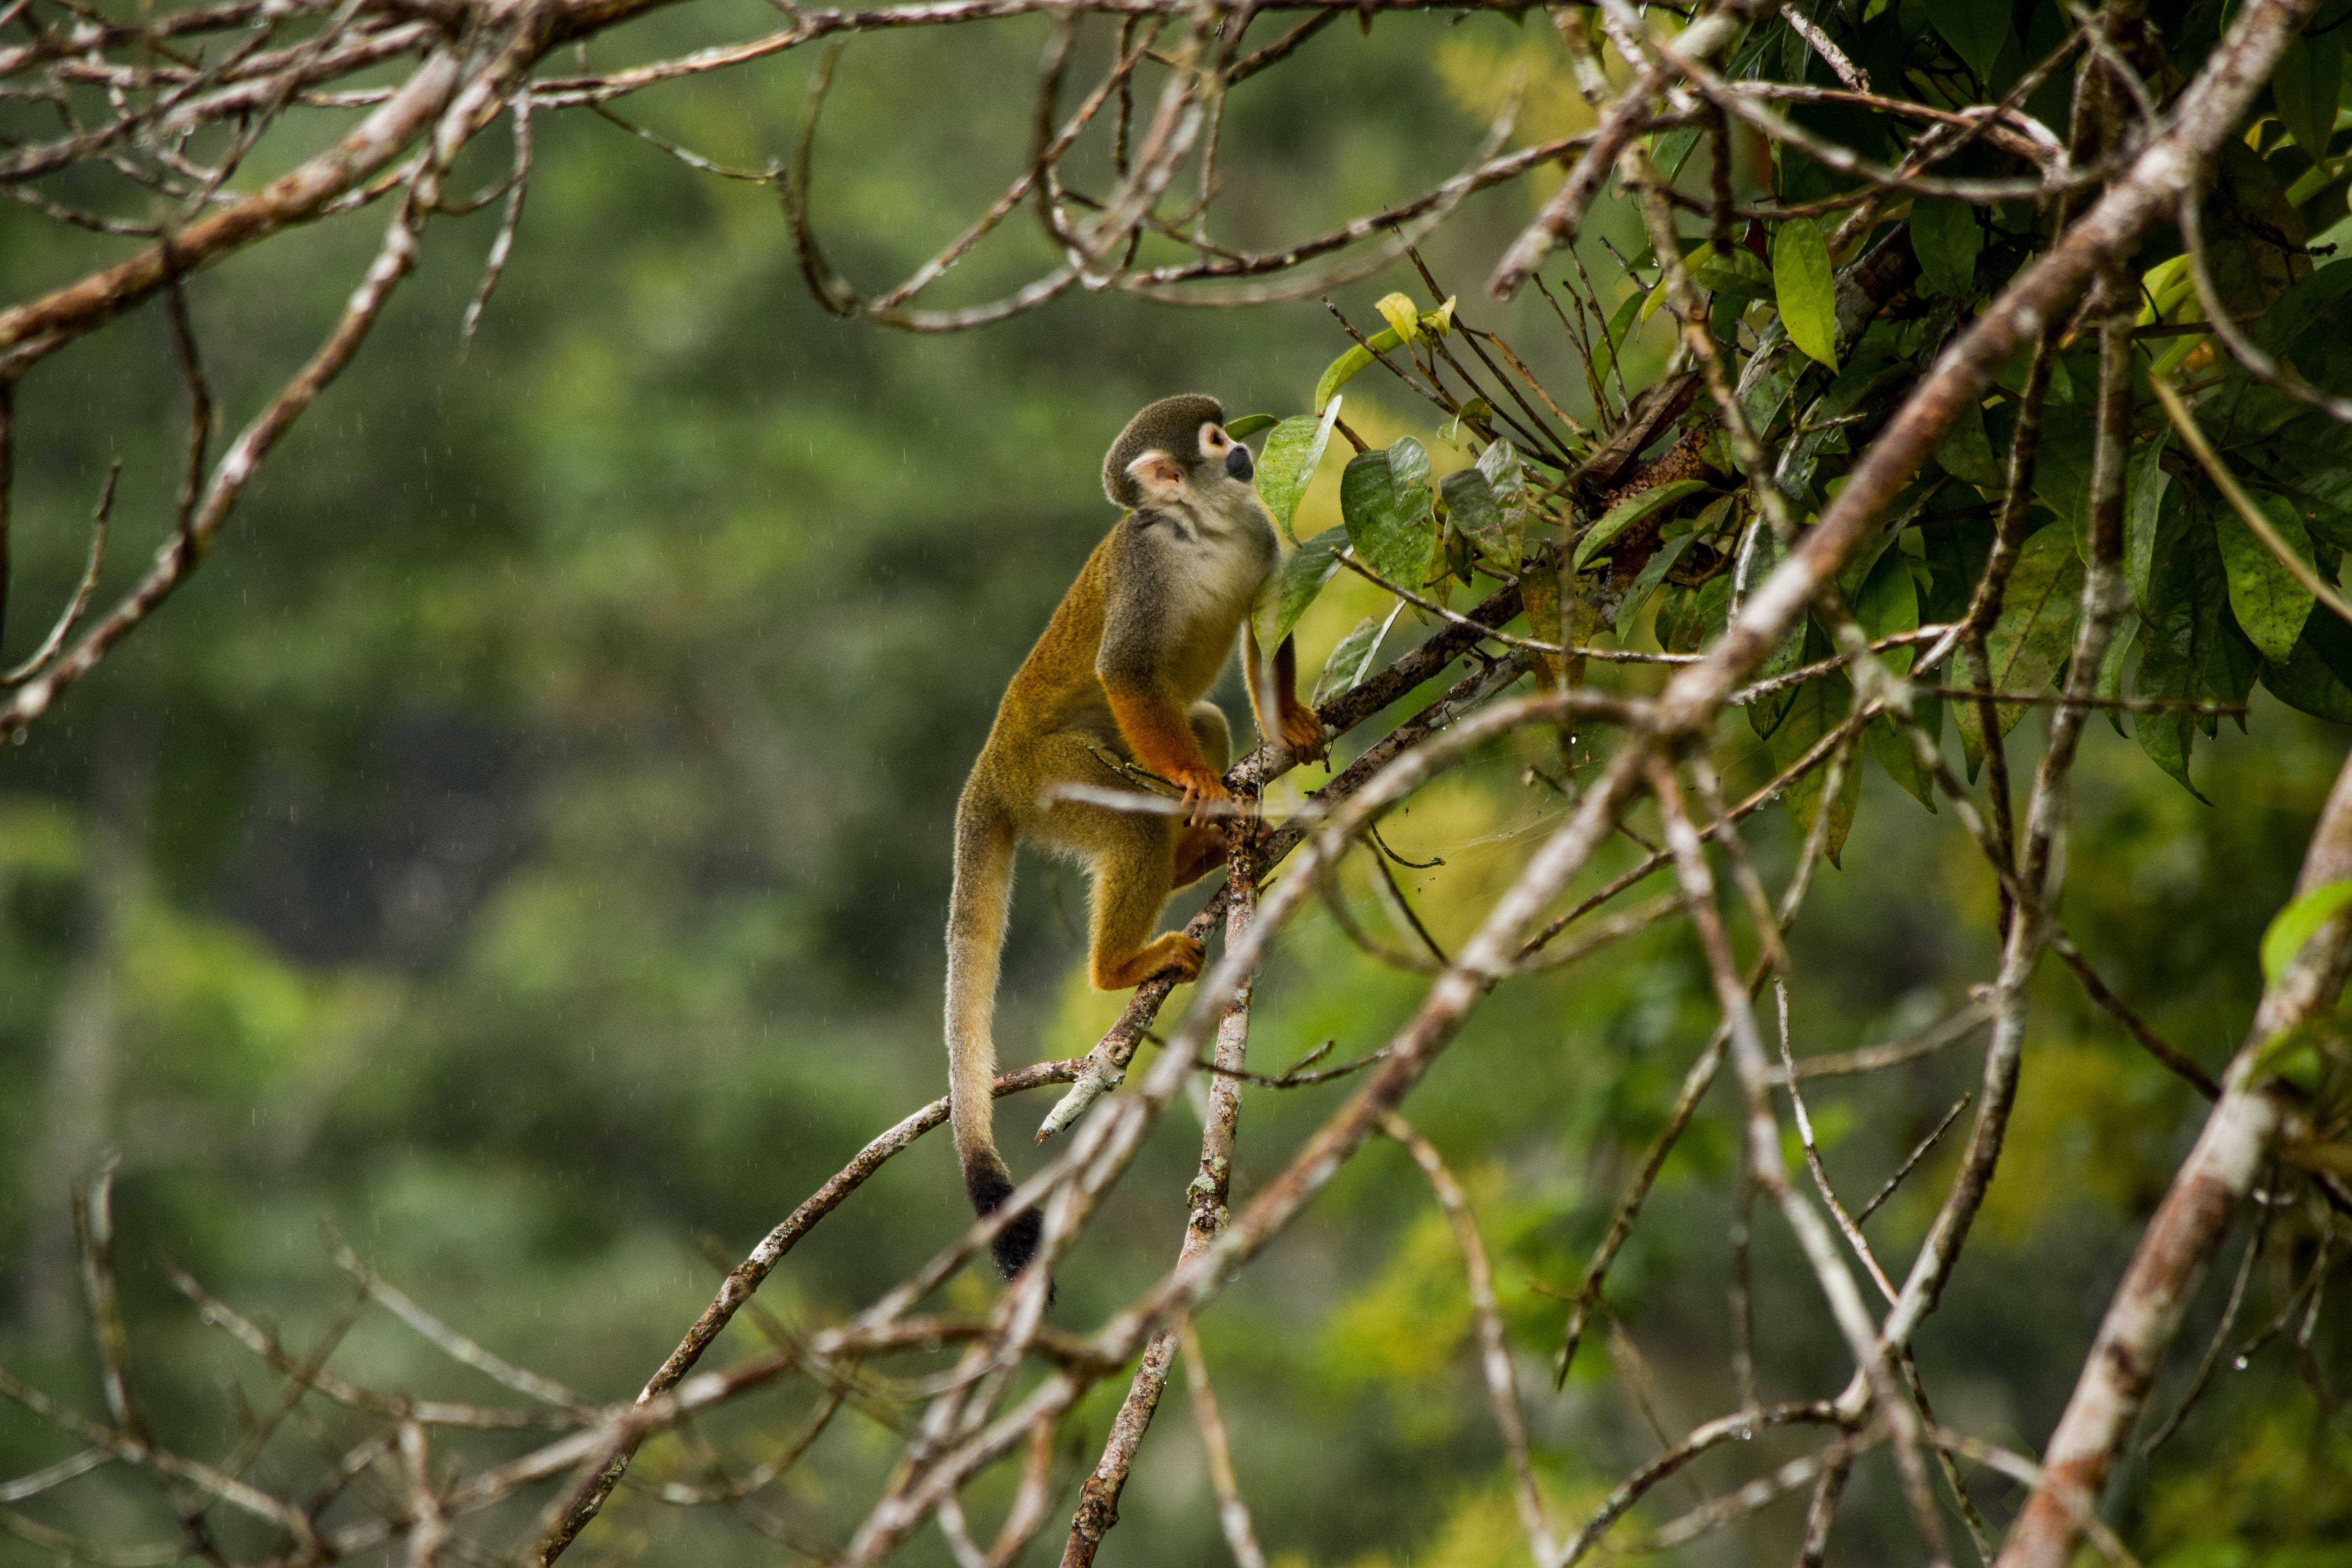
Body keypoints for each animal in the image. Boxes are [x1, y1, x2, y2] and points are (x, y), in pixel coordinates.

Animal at [945, 394, 1330, 1284]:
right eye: (1216, 440)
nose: (1245, 451)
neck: (1202, 529)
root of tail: (993, 768)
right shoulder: (1146, 562)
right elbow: (1125, 670)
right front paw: (1198, 785)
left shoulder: (1259, 532)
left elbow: (1269, 623)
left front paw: (1285, 722)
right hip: (1052, 778)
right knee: (1130, 825)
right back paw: (1123, 959)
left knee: (1201, 719)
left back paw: (1201, 846)